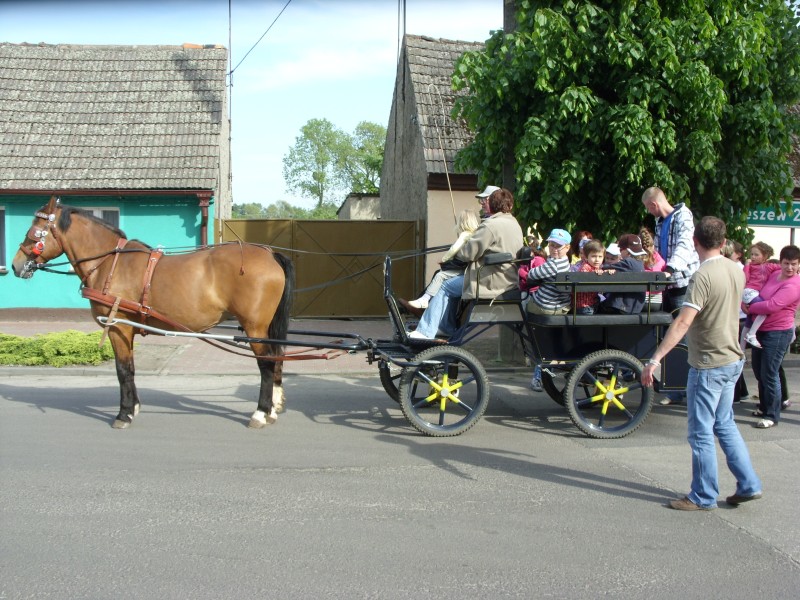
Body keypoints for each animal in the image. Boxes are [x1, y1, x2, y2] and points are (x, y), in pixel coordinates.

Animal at [10, 199, 294, 428]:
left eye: (35, 231)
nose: (15, 265)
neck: (110, 263)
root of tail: (270, 254)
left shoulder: (118, 328)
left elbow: (122, 370)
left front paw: (123, 414)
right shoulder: (126, 329)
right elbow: (130, 369)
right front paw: (133, 407)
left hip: (255, 328)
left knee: (266, 364)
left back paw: (260, 413)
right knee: (276, 361)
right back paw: (271, 409)